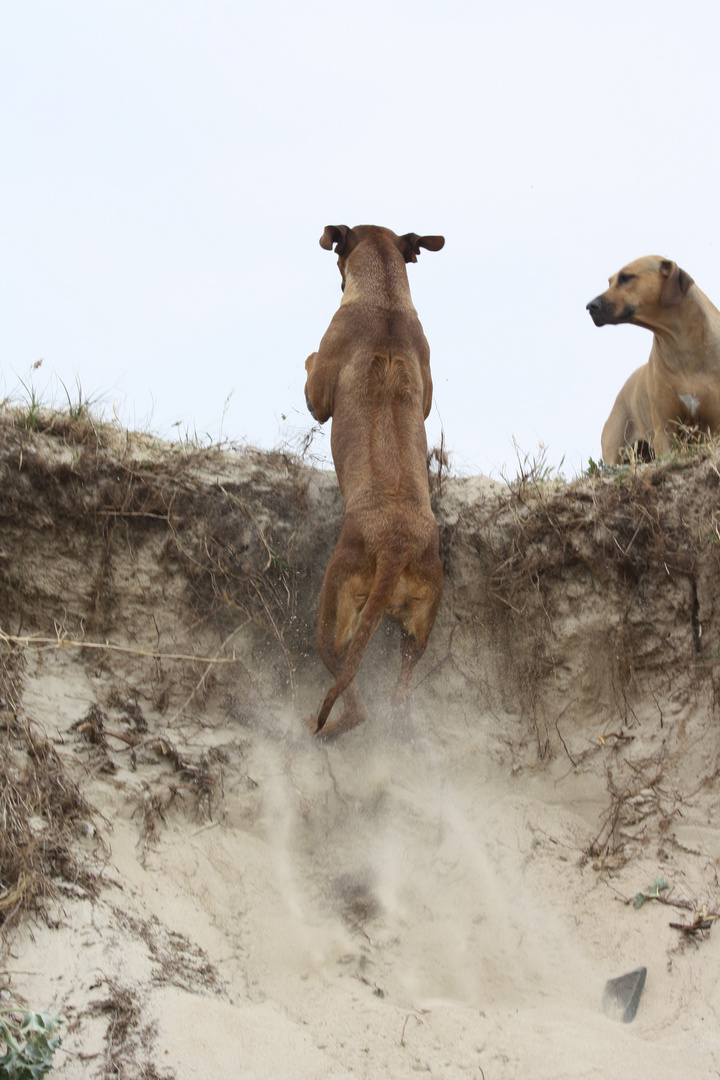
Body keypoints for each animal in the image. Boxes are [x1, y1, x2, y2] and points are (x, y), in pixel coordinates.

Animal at [304, 224, 444, 738]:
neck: (385, 301)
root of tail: (395, 544)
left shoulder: (320, 388)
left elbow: (311, 370)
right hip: (418, 627)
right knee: (400, 694)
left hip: (335, 609)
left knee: (349, 688)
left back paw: (323, 729)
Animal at [587, 258, 720, 468]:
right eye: (609, 282)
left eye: (626, 277)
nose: (590, 306)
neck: (682, 347)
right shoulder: (665, 431)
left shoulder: (715, 426)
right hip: (616, 450)